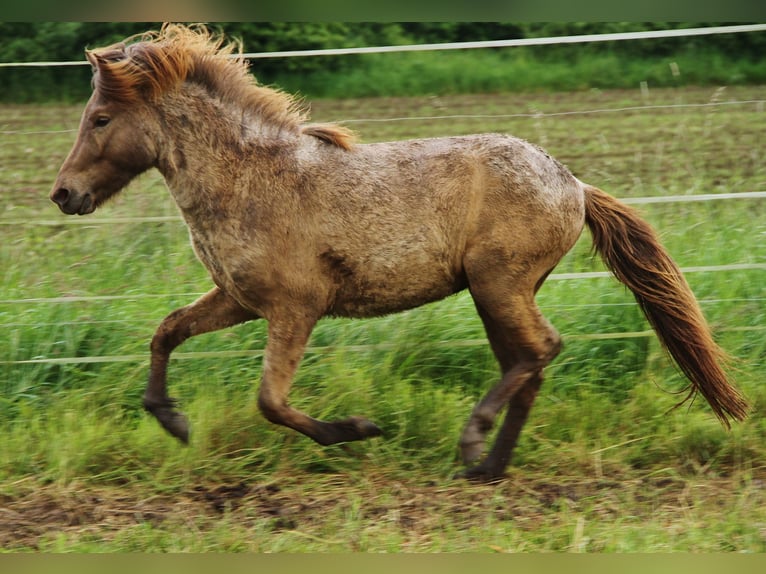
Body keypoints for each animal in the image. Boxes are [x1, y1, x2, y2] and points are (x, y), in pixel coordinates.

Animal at [49, 23, 752, 482]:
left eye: (101, 118)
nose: (64, 193)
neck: (252, 181)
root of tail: (575, 186)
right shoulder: (238, 299)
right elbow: (167, 331)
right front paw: (171, 421)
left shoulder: (295, 308)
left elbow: (270, 401)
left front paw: (355, 431)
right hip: (495, 294)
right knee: (526, 364)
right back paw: (488, 468)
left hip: (500, 283)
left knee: (542, 349)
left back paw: (473, 440)